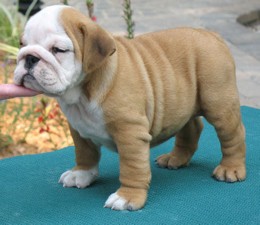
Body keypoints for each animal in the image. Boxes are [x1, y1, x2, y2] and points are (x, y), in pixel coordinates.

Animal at [13, 5, 246, 211]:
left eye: (58, 50)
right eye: (21, 44)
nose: (29, 57)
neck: (81, 94)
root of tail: (211, 35)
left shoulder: (130, 134)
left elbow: (132, 168)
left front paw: (128, 197)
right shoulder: (79, 129)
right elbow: (85, 153)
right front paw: (81, 174)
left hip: (218, 104)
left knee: (233, 135)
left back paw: (231, 169)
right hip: (183, 103)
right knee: (192, 128)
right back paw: (176, 159)